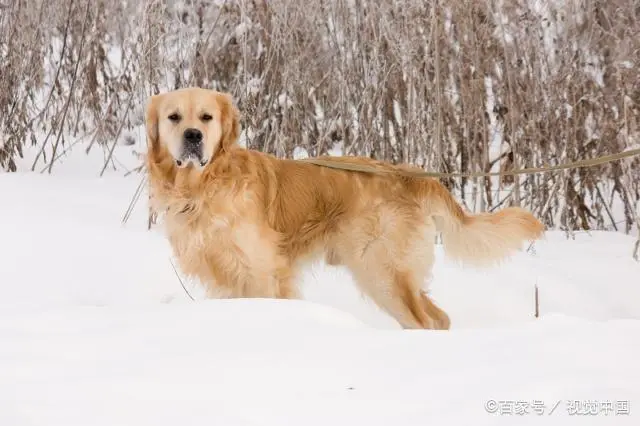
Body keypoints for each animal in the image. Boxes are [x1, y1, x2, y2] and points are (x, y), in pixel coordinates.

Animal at [146, 88, 544, 332]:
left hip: (380, 269)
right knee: (439, 318)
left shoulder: (262, 272)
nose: (193, 136)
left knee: (425, 322)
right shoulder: (224, 277)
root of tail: (405, 173)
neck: (204, 187)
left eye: (207, 117)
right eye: (174, 117)